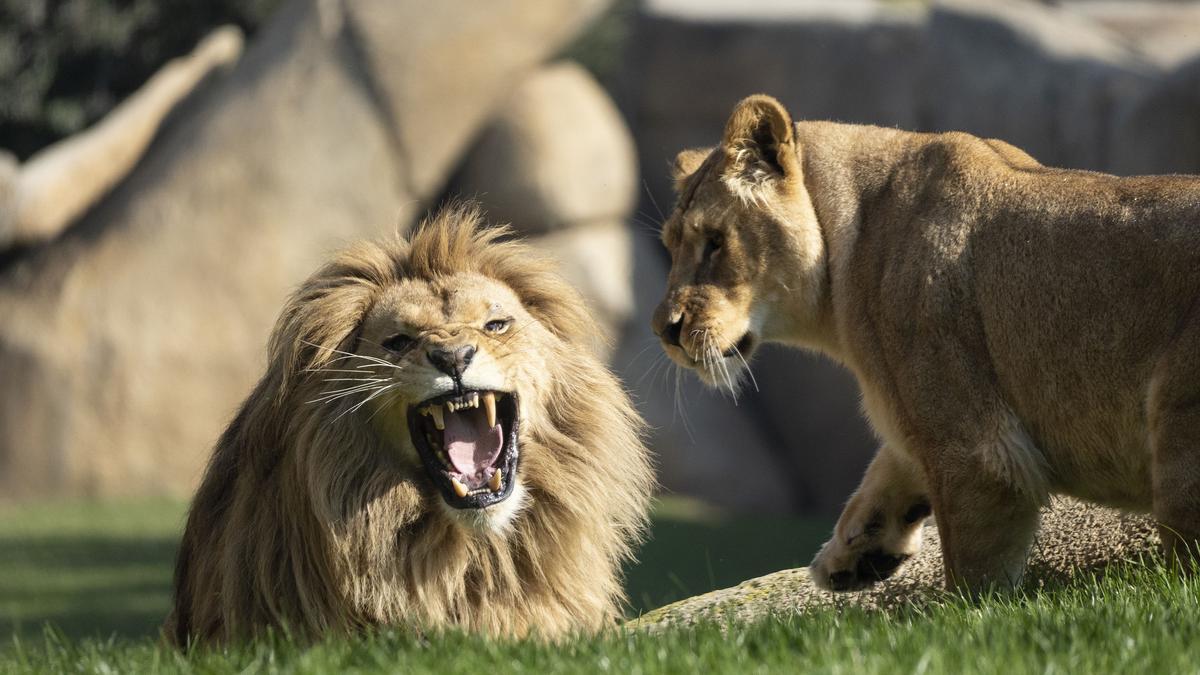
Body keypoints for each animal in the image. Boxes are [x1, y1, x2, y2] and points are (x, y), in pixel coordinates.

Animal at [652, 91, 1200, 590]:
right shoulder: (915, 419)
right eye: (671, 246)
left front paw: (972, 614)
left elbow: (973, 570)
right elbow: (885, 471)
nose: (665, 329)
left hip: (1178, 425)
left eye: (715, 242)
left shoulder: (975, 446)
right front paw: (853, 554)